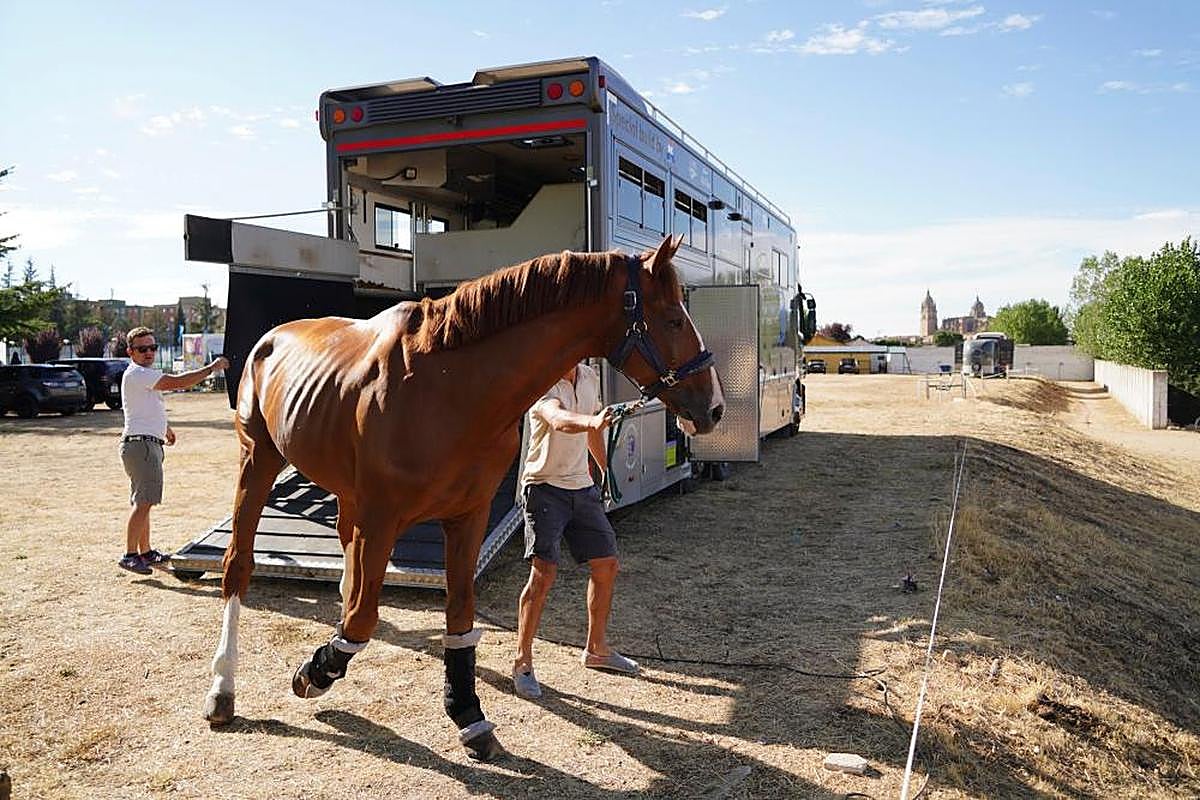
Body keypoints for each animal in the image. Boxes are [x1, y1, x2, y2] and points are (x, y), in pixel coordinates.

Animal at [201, 234, 725, 761]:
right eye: (673, 319)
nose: (714, 407)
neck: (449, 385)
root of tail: (272, 337)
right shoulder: (382, 518)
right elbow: (364, 617)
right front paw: (316, 671)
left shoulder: (467, 516)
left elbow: (457, 615)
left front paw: (468, 715)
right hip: (257, 461)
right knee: (239, 566)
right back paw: (223, 690)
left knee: (345, 551)